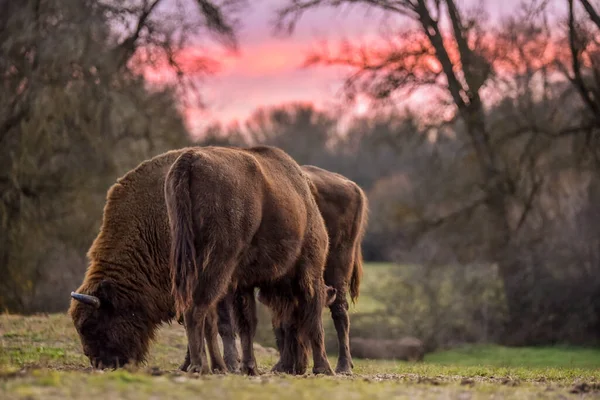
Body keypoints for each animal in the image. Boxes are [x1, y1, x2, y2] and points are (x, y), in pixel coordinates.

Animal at [164, 147, 332, 376]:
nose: (298, 367)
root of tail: (191, 158)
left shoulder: (242, 284)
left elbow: (246, 324)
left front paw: (250, 367)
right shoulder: (311, 272)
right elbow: (316, 323)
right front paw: (325, 368)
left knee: (203, 313)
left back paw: (214, 366)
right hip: (219, 261)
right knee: (197, 308)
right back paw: (200, 365)